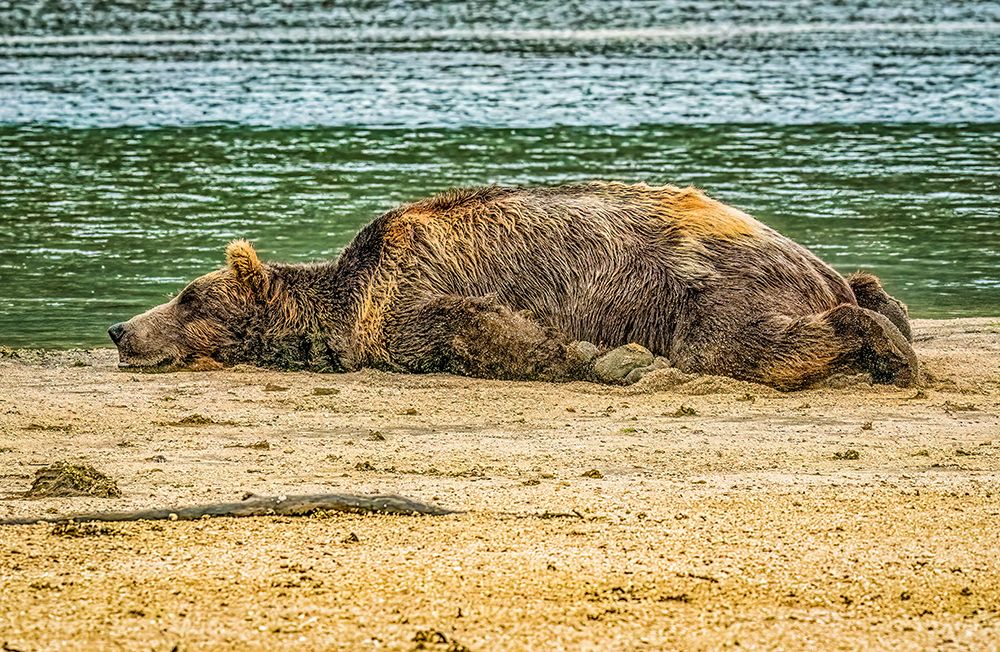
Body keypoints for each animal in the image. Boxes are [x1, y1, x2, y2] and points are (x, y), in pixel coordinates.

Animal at [108, 182, 918, 390]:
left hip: (708, 287)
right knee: (872, 286)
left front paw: (596, 358)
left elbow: (475, 326)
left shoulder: (406, 287)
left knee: (741, 344)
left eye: (188, 297)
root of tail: (809, 264)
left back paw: (890, 353)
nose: (119, 328)